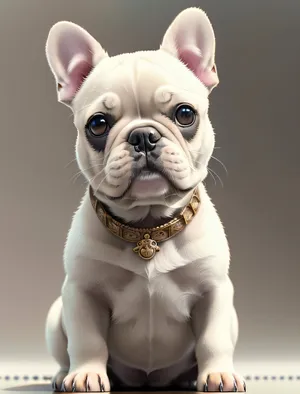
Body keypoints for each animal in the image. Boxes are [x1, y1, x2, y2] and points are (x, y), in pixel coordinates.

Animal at [45, 6, 246, 394]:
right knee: (65, 350)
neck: (148, 226)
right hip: (54, 315)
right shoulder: (81, 292)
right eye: (97, 124)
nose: (143, 136)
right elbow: (87, 340)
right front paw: (87, 374)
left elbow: (212, 339)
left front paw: (217, 374)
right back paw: (64, 375)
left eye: (185, 114)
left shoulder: (214, 291)